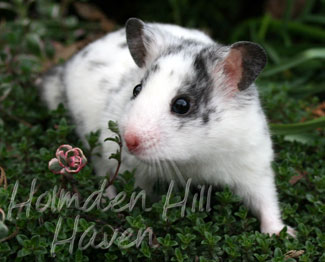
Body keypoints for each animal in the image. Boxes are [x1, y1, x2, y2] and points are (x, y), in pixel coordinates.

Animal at [39, 17, 294, 236]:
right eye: (137, 89)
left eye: (182, 105)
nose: (129, 141)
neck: (194, 157)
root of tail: (69, 64)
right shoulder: (133, 170)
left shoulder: (254, 166)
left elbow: (267, 202)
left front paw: (283, 234)